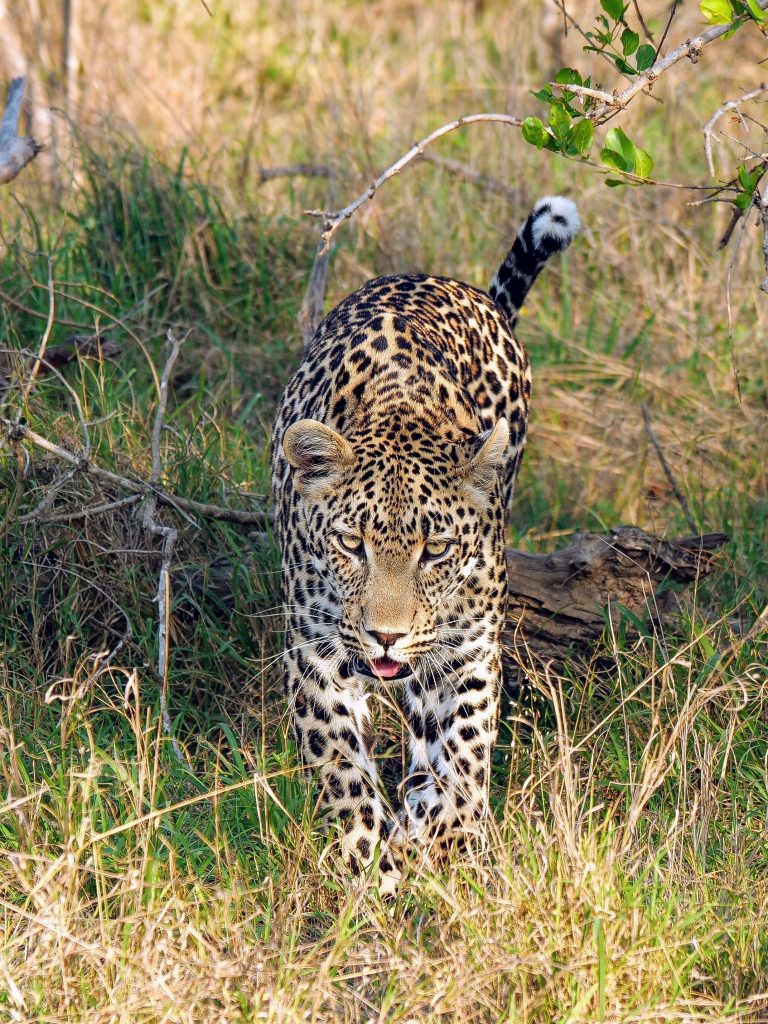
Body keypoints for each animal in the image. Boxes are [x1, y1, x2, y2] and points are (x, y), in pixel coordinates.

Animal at [270, 192, 577, 888]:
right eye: (351, 543)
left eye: (434, 552)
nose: (386, 635)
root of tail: (458, 285)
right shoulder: (313, 649)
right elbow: (341, 765)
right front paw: (368, 859)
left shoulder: (469, 647)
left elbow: (464, 748)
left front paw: (451, 832)